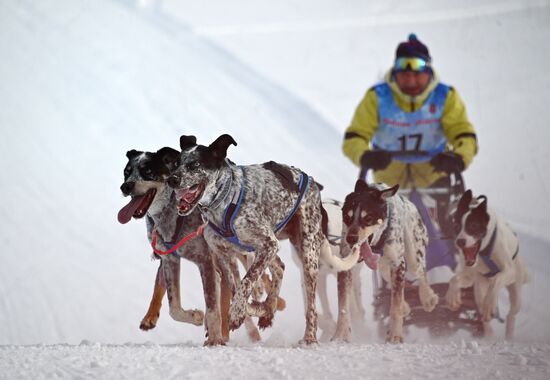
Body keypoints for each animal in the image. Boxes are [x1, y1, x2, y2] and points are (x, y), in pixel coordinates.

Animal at [119, 147, 226, 346]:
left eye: (148, 171)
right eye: (126, 172)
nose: (125, 186)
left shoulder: (205, 260)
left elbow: (213, 304)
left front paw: (215, 338)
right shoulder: (170, 259)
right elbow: (174, 307)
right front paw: (196, 316)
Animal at [166, 134, 360, 344]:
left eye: (195, 164)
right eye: (176, 163)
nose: (171, 179)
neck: (224, 202)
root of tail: (313, 184)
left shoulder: (267, 244)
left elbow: (246, 282)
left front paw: (237, 313)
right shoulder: (225, 255)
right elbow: (236, 287)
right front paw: (251, 309)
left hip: (306, 255)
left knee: (311, 308)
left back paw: (309, 337)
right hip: (272, 248)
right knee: (280, 267)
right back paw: (267, 309)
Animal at [340, 180, 440, 342]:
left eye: (368, 218)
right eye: (347, 217)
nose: (351, 239)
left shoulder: (398, 263)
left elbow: (396, 305)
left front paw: (395, 334)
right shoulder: (345, 266)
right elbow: (343, 305)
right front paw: (340, 334)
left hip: (412, 254)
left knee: (420, 272)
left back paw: (428, 298)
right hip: (382, 263)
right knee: (387, 275)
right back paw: (406, 305)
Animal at [446, 190, 532, 338]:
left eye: (473, 225)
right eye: (456, 226)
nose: (460, 242)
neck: (483, 252)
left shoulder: (508, 271)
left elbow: (496, 280)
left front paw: (489, 304)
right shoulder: (470, 275)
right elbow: (454, 279)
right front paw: (453, 297)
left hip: (516, 293)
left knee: (511, 314)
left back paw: (508, 334)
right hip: (479, 290)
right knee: (482, 308)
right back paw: (488, 332)